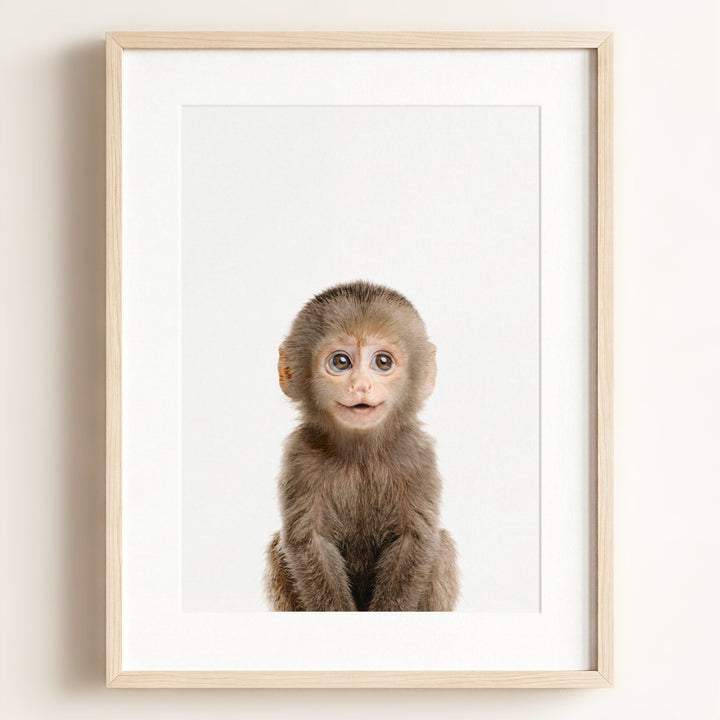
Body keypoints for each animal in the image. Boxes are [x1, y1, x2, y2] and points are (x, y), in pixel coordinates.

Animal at [265, 281, 458, 611]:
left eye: (382, 362)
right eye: (341, 362)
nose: (360, 386)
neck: (361, 455)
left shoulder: (417, 455)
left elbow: (415, 539)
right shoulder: (299, 455)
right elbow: (309, 541)